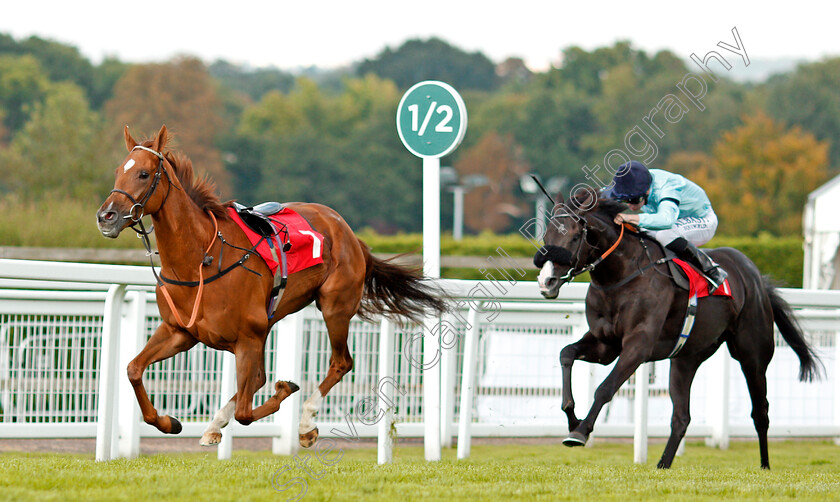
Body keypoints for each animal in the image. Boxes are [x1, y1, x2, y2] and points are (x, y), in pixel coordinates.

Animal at [96, 125, 450, 448]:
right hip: (269, 323)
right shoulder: (180, 332)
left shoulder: (246, 338)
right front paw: (168, 421)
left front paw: (285, 391)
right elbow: (133, 369)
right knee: (257, 379)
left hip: (334, 307)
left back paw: (306, 423)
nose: (106, 216)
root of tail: (349, 232)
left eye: (143, 174)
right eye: (117, 171)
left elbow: (246, 410)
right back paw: (215, 426)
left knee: (340, 363)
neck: (200, 260)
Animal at [532, 190, 820, 468]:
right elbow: (566, 354)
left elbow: (605, 388)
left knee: (760, 412)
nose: (547, 281)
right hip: (686, 359)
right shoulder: (605, 345)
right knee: (682, 417)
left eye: (574, 236)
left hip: (753, 356)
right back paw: (662, 465)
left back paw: (765, 466)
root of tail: (756, 276)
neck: (621, 275)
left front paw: (580, 432)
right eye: (546, 235)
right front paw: (572, 418)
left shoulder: (638, 345)